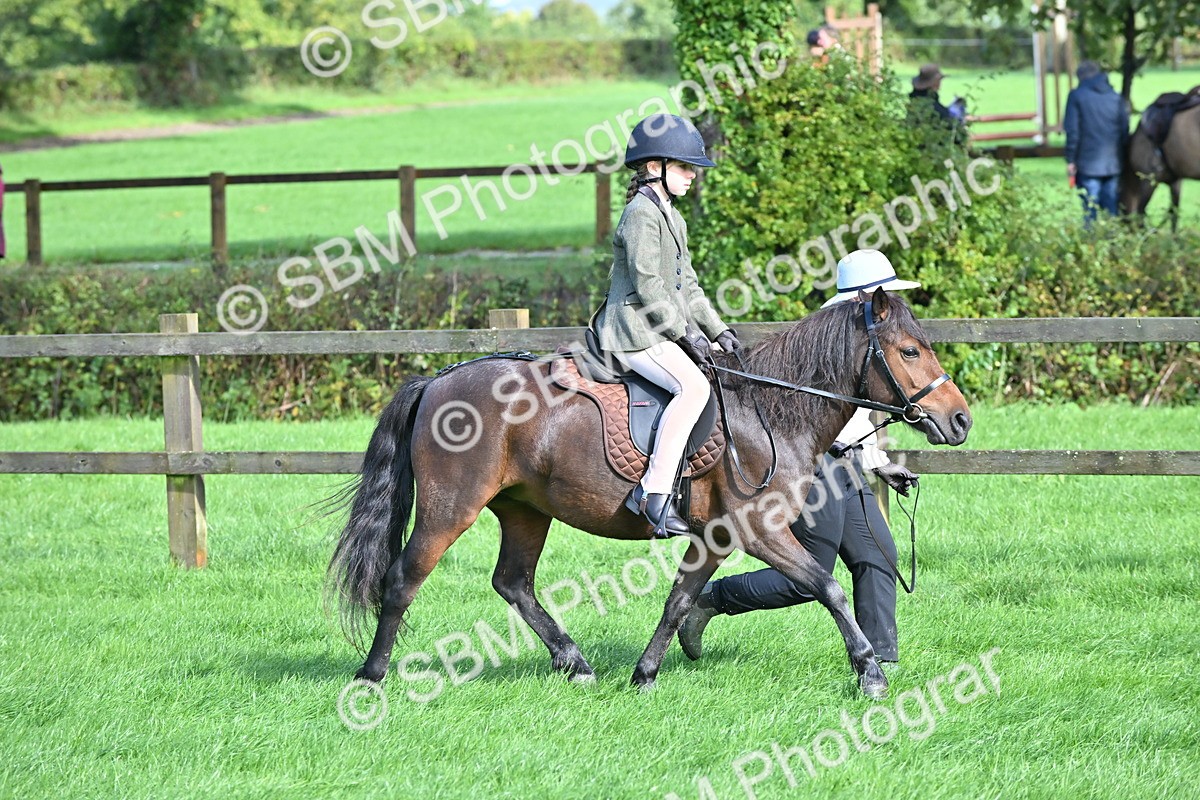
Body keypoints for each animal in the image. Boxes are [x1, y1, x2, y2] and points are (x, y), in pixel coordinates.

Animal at [327, 288, 973, 699]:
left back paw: (575, 664)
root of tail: (439, 379)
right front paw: (870, 673)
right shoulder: (761, 531)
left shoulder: (714, 539)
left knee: (513, 583)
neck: (770, 410)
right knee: (403, 579)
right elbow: (830, 587)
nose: (960, 420)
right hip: (450, 508)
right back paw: (371, 676)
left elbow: (680, 601)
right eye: (910, 351)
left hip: (526, 511)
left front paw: (645, 674)